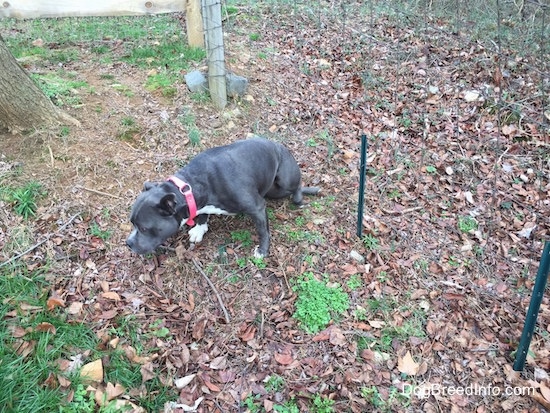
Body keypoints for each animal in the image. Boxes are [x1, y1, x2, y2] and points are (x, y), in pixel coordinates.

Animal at [124, 137, 320, 256]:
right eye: (132, 224)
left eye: (144, 228)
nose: (128, 243)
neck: (188, 188)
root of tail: (281, 146)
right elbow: (202, 214)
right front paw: (200, 228)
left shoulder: (257, 207)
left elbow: (263, 230)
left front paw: (263, 250)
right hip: (273, 190)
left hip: (285, 178)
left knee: (296, 186)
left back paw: (300, 198)